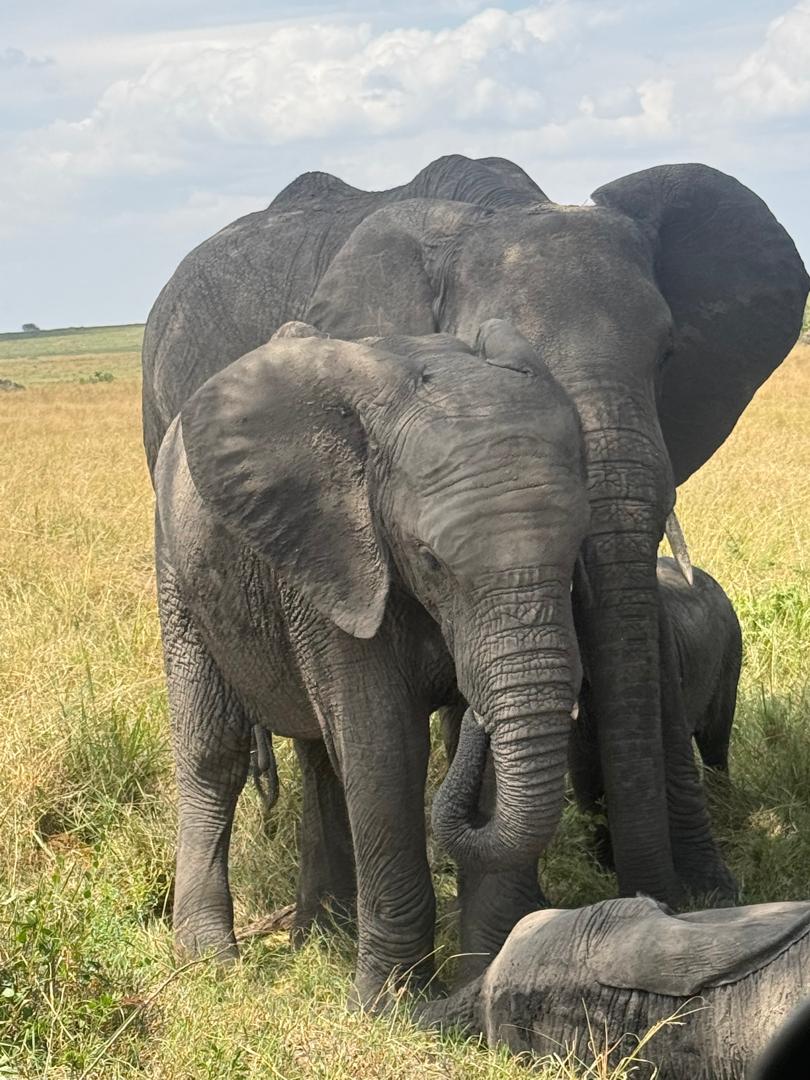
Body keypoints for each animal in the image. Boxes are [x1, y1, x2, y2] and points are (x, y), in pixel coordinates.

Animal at [151, 320, 590, 1008]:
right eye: (430, 559)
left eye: (579, 543)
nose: (474, 716)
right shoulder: (339, 556)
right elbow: (384, 747)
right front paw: (391, 1008)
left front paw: (485, 975)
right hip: (176, 560)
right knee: (213, 750)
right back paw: (211, 963)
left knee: (320, 757)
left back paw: (320, 933)